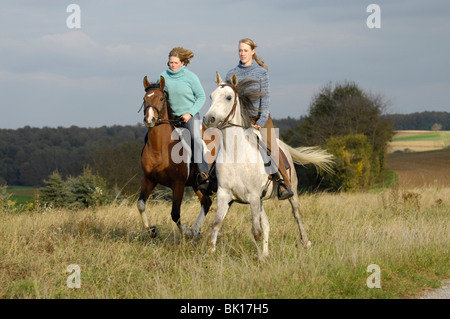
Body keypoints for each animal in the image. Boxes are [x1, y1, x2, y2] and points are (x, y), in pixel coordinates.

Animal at [136, 76, 215, 239]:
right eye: (144, 99)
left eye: (161, 98)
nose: (149, 120)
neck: (159, 149)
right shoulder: (149, 180)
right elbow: (140, 204)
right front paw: (152, 230)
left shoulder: (178, 184)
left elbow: (175, 213)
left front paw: (187, 232)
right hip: (197, 184)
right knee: (206, 202)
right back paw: (197, 230)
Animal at [204, 74, 334, 262]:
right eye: (211, 96)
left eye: (228, 97)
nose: (209, 119)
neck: (236, 154)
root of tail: (283, 146)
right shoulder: (224, 194)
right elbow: (216, 224)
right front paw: (209, 253)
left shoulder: (252, 197)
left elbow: (255, 231)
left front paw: (260, 259)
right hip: (260, 200)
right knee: (266, 223)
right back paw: (267, 252)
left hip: (290, 191)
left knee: (296, 214)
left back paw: (305, 242)